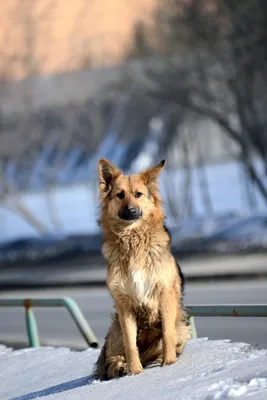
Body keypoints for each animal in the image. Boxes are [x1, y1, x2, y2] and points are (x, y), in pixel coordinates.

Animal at [93, 159, 192, 382]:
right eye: (120, 195)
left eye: (138, 194)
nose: (130, 211)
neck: (133, 241)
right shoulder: (124, 304)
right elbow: (130, 344)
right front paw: (134, 371)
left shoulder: (165, 295)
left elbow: (167, 335)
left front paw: (169, 363)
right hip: (116, 330)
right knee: (113, 357)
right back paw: (119, 367)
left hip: (183, 327)